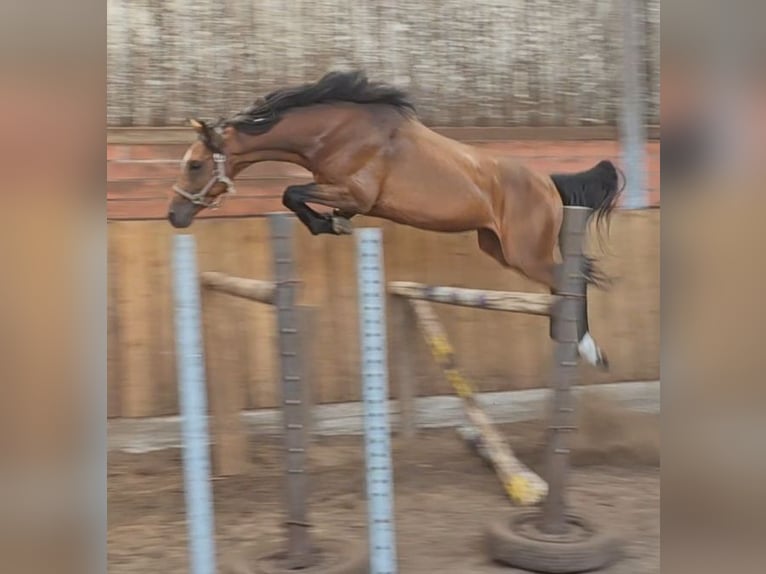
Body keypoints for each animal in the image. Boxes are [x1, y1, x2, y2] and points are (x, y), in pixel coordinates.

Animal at [168, 70, 624, 372]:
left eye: (194, 164)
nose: (174, 215)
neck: (334, 131)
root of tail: (548, 182)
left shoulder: (355, 193)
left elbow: (292, 193)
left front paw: (327, 225)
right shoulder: (349, 197)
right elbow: (298, 197)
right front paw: (334, 224)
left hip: (525, 253)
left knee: (571, 279)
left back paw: (588, 349)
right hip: (497, 247)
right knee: (562, 283)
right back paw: (564, 336)